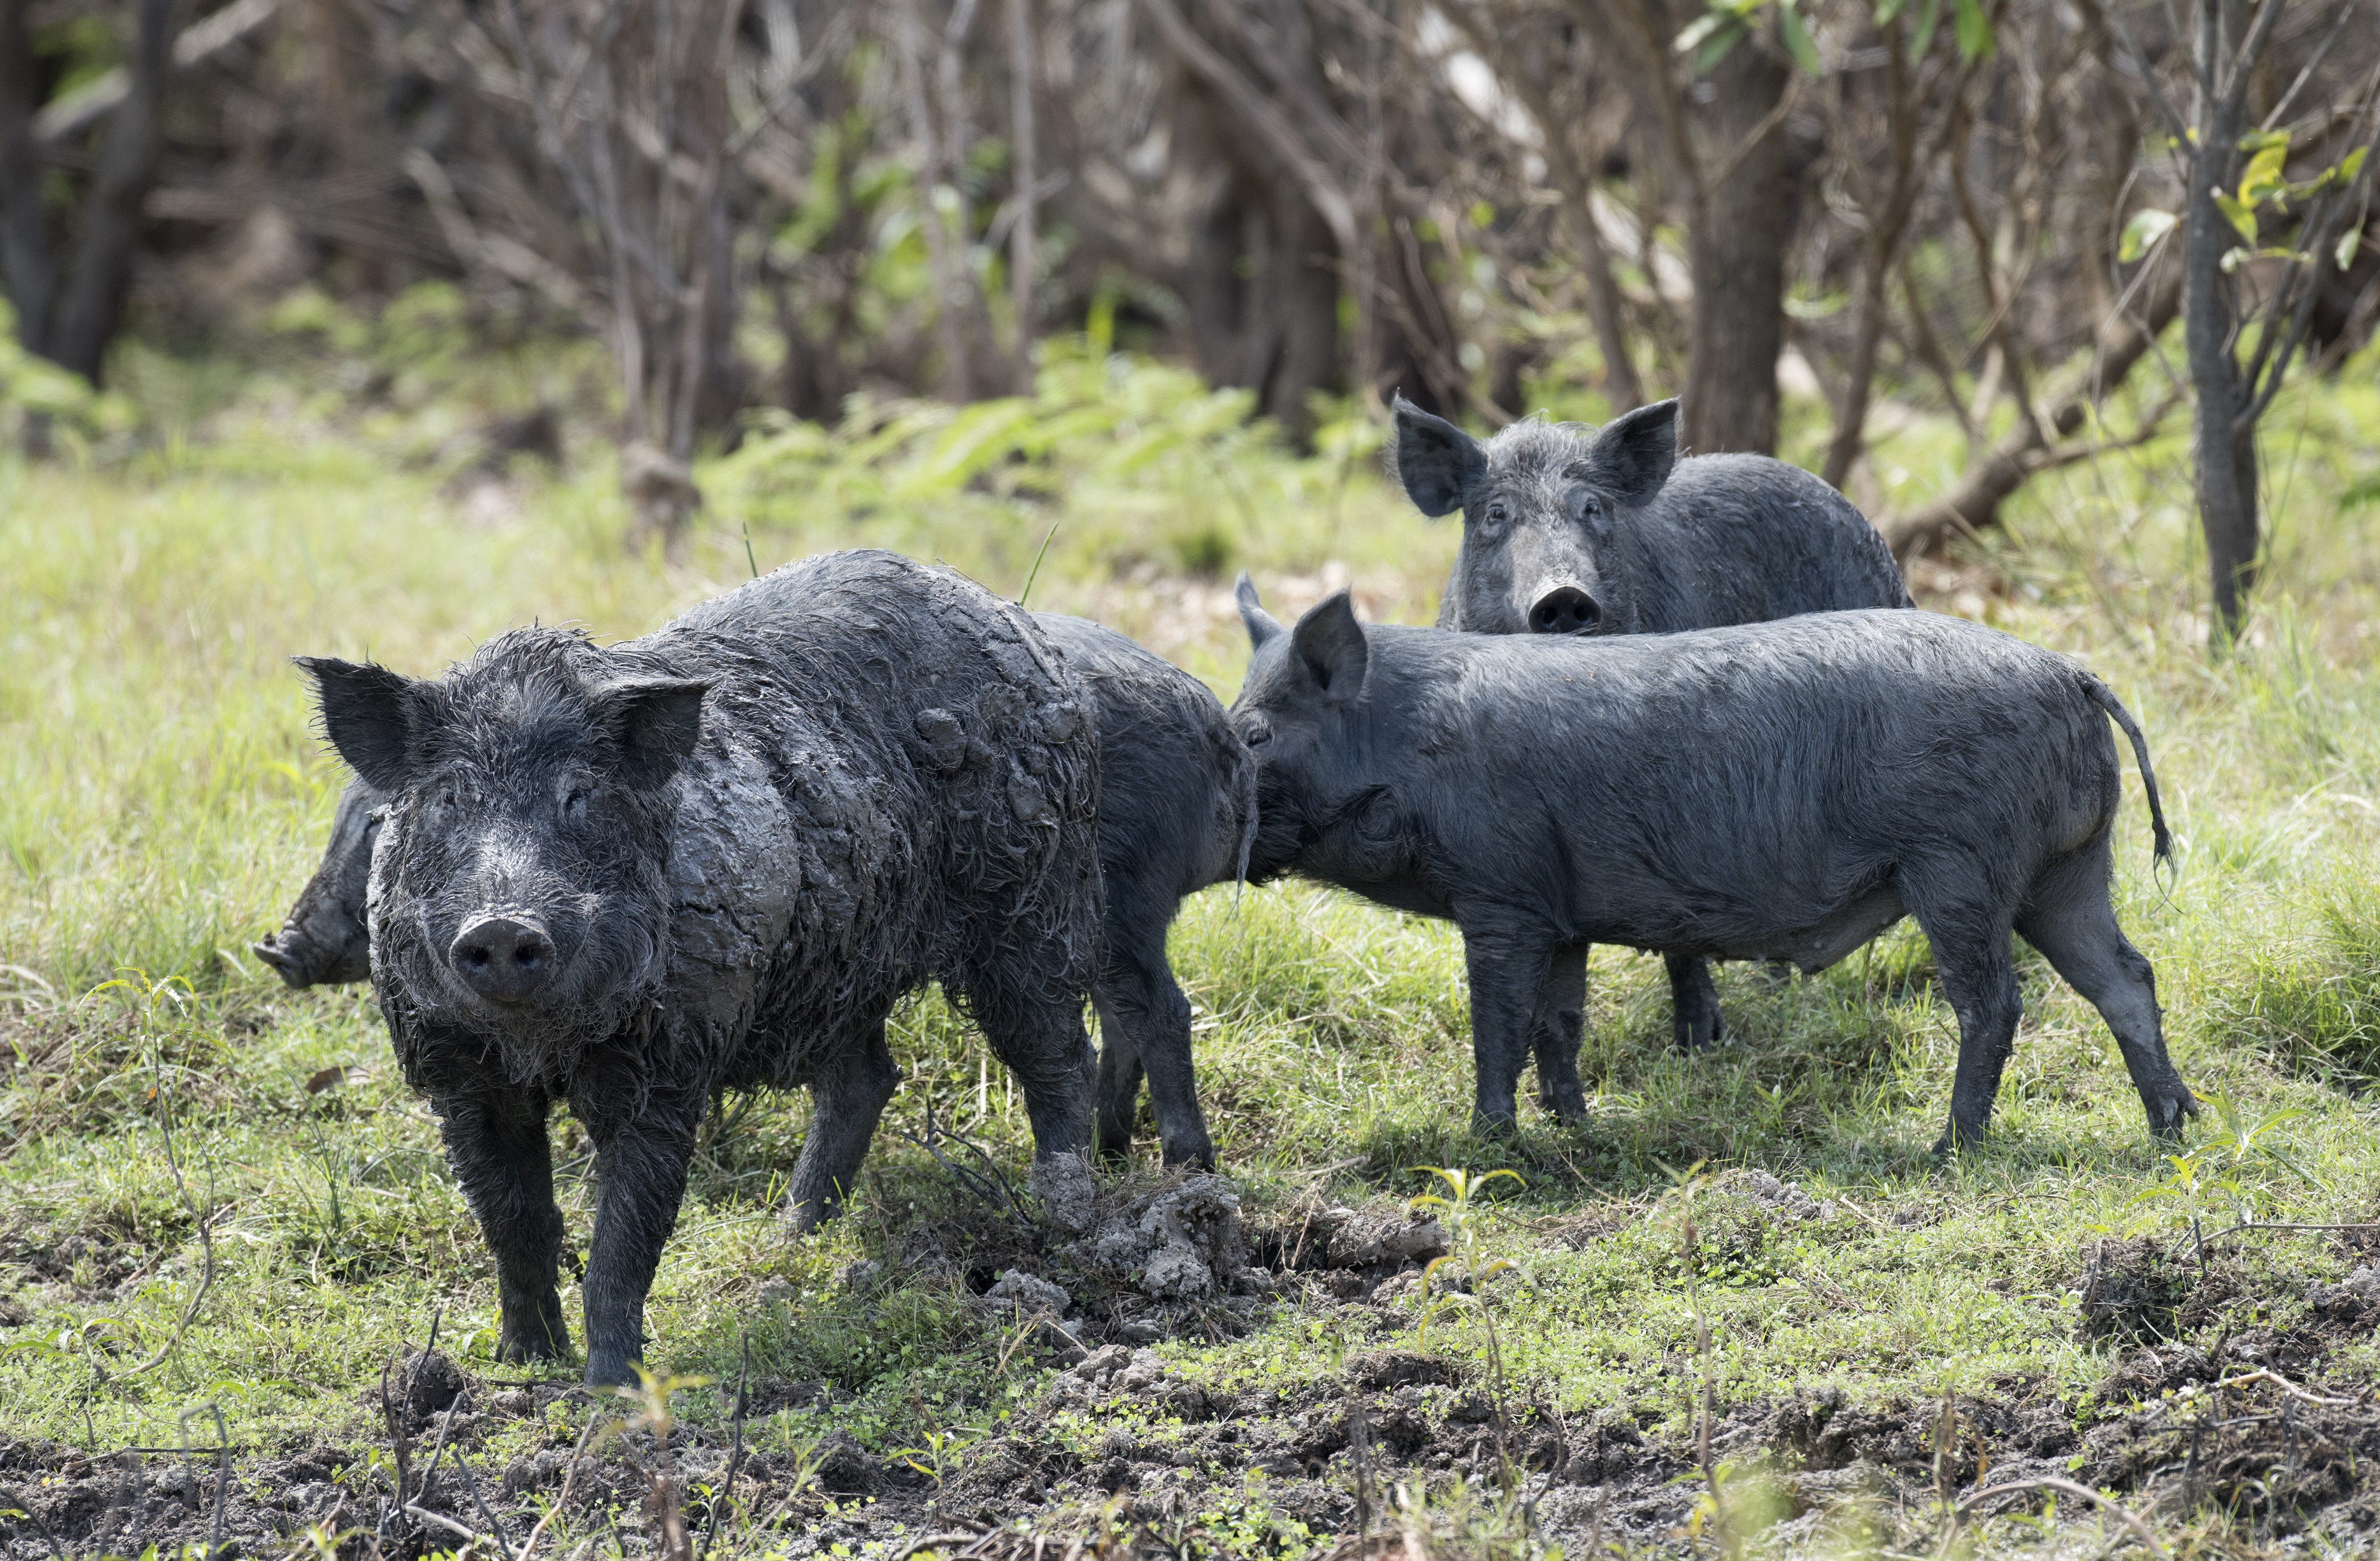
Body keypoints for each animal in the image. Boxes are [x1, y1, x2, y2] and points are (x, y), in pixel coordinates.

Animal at [263, 611, 1252, 1175]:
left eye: (375, 826)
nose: (279, 946)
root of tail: (1211, 718)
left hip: (1084, 905)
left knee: (1145, 1011)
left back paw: (1169, 1171)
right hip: (859, 950)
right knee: (875, 1074)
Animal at [297, 550, 1104, 1385]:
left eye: (579, 795)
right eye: (450, 797)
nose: (502, 923)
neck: (541, 1047)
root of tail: (1015, 622)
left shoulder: (670, 1062)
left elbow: (626, 1236)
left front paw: (611, 1388)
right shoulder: (458, 1074)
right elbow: (515, 1223)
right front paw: (522, 1362)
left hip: (1030, 898)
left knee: (1058, 1052)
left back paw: (1067, 1219)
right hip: (844, 966)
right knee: (868, 1078)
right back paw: (794, 1240)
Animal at [1230, 580, 2197, 1153]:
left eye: (1255, 732)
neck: (1405, 747)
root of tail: (2069, 671)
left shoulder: (1500, 893)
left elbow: (1497, 1024)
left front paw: (1487, 1144)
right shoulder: (1560, 913)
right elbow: (1558, 1026)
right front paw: (1578, 1133)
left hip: (1958, 868)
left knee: (1994, 999)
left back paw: (1948, 1148)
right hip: (2066, 871)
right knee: (2127, 975)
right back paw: (2175, 1127)